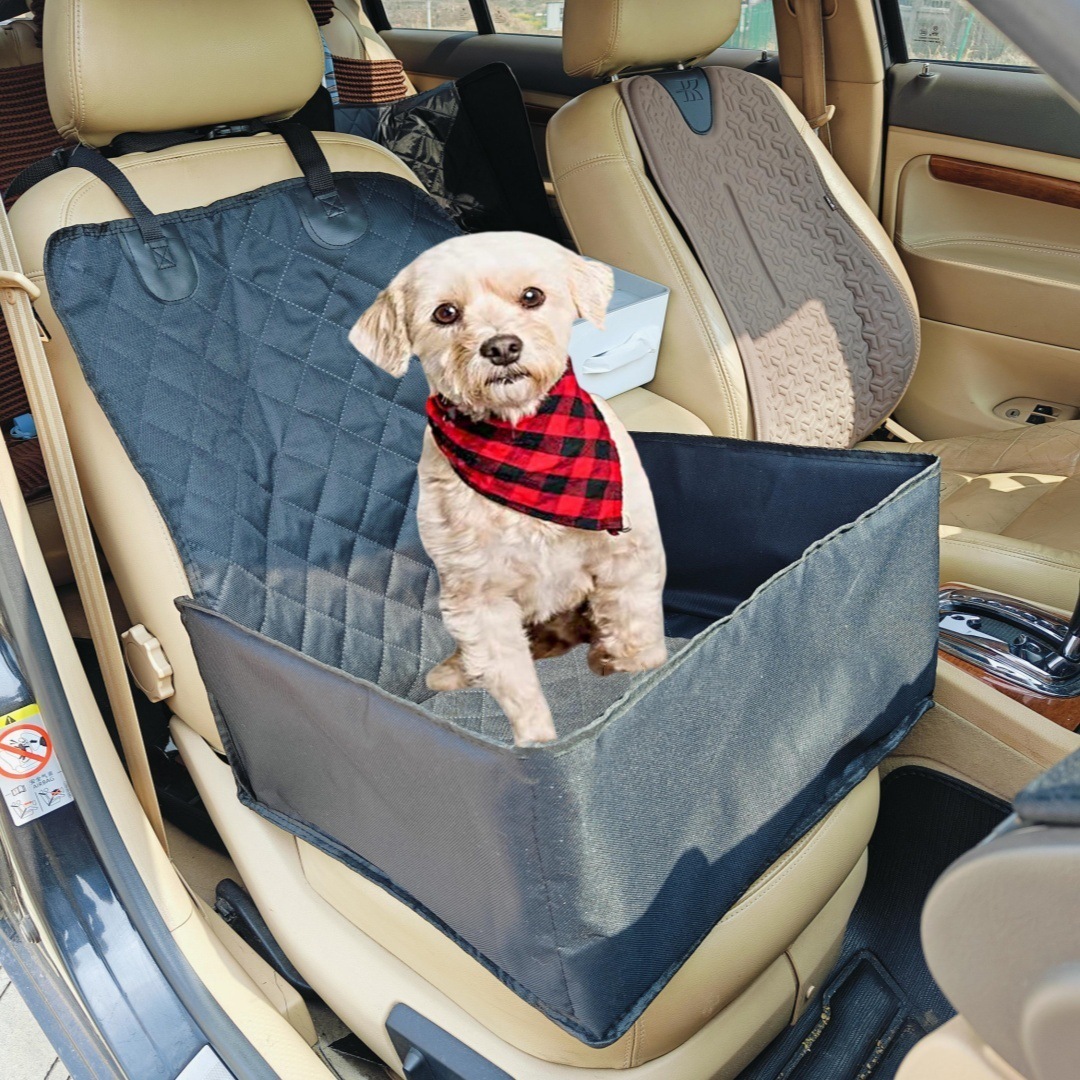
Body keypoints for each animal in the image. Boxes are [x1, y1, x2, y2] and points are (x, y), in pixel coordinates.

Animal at [349, 233, 665, 747]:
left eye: (532, 296)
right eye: (445, 313)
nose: (501, 346)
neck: (524, 443)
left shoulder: (629, 553)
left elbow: (637, 630)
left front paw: (631, 666)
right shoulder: (479, 600)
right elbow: (516, 687)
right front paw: (537, 743)